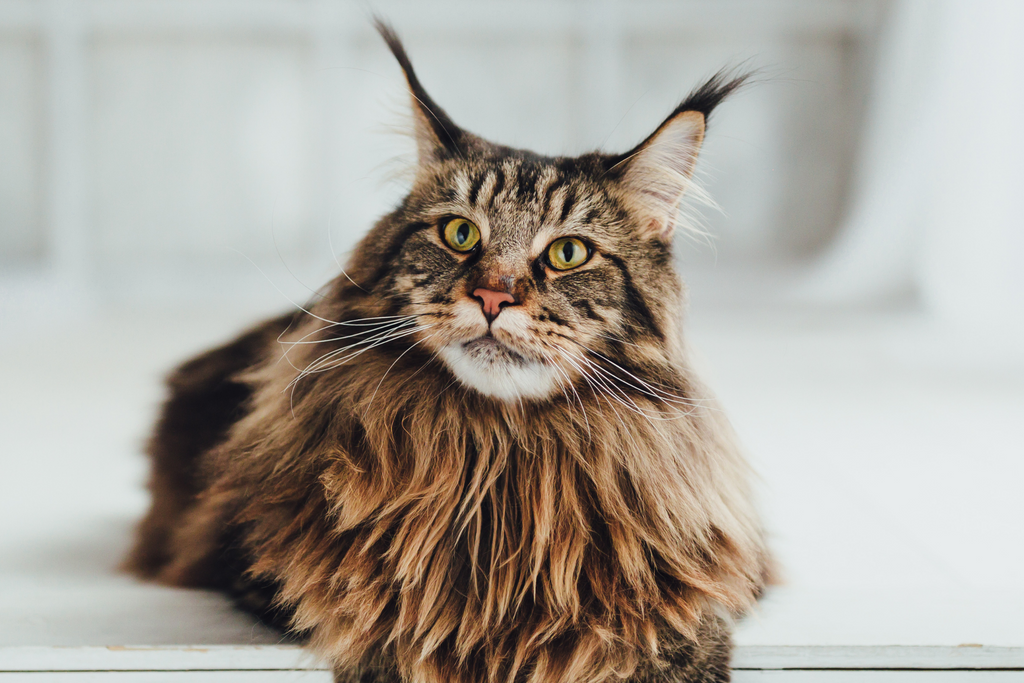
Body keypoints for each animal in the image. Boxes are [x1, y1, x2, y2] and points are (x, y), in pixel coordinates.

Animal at [123, 20, 770, 683]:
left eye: (568, 253)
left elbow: (674, 629)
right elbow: (390, 621)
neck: (499, 455)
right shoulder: (260, 561)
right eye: (461, 234)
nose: (493, 296)